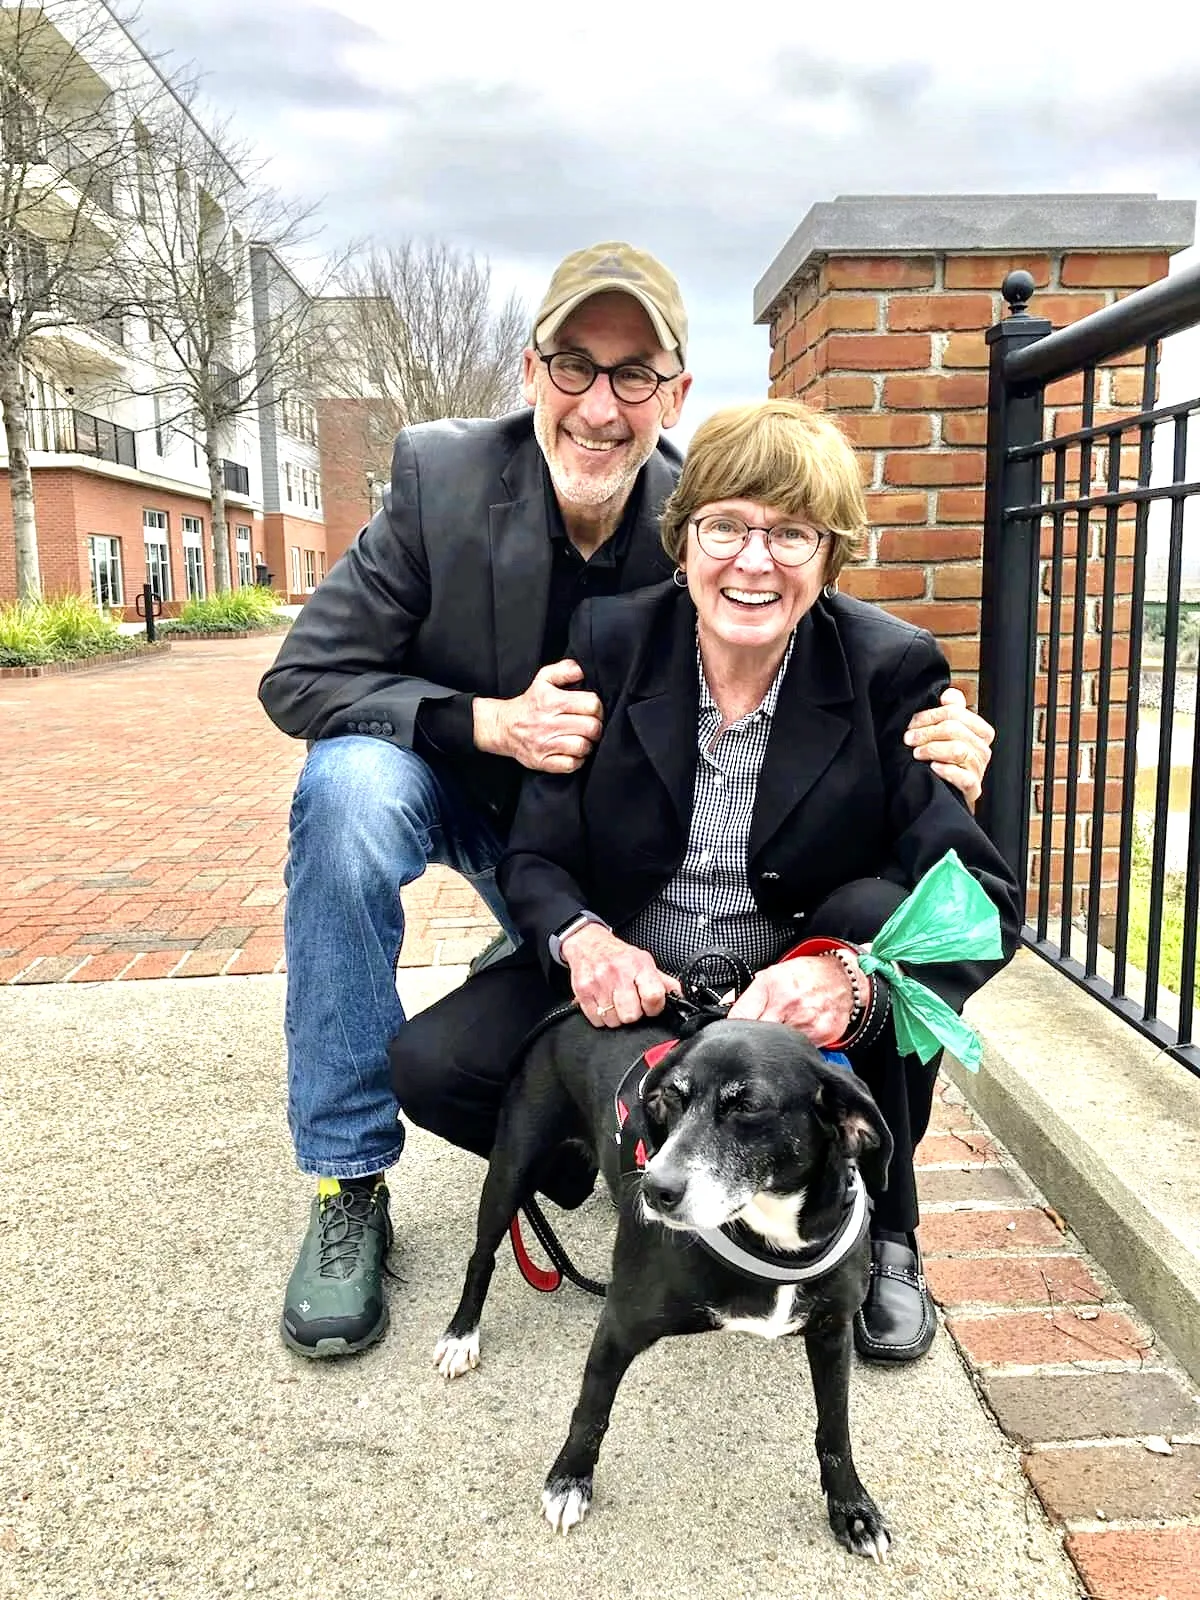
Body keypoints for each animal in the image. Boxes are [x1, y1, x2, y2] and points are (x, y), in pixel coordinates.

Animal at [438, 1011, 896, 1561]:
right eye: (672, 1099)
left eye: (748, 1106)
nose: (655, 1190)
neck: (772, 1238)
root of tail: (565, 1012)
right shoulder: (619, 1324)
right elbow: (590, 1411)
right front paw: (569, 1481)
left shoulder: (832, 1331)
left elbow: (835, 1429)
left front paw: (853, 1509)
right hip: (511, 1168)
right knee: (481, 1257)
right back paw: (461, 1336)